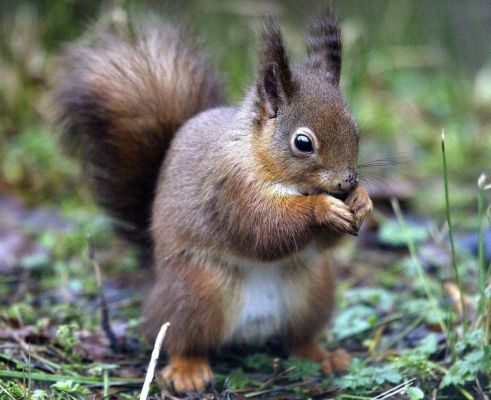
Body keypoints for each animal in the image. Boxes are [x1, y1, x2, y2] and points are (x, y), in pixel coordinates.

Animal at [55, 8, 372, 394]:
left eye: (356, 130)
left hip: (312, 292)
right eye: (303, 143)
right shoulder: (229, 189)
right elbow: (265, 229)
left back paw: (322, 356)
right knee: (181, 339)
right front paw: (324, 208)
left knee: (298, 338)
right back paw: (188, 372)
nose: (347, 182)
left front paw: (362, 201)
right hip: (197, 293)